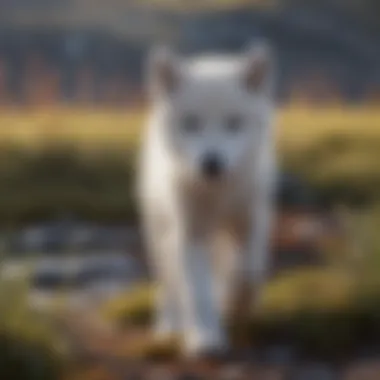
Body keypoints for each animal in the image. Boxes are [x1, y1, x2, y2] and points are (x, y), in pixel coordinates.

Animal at [138, 43, 278, 358]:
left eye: (234, 122)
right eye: (191, 123)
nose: (211, 163)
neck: (217, 197)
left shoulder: (250, 221)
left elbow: (248, 271)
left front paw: (236, 303)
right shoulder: (191, 234)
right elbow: (197, 292)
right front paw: (205, 338)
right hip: (160, 236)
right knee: (169, 285)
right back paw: (170, 326)